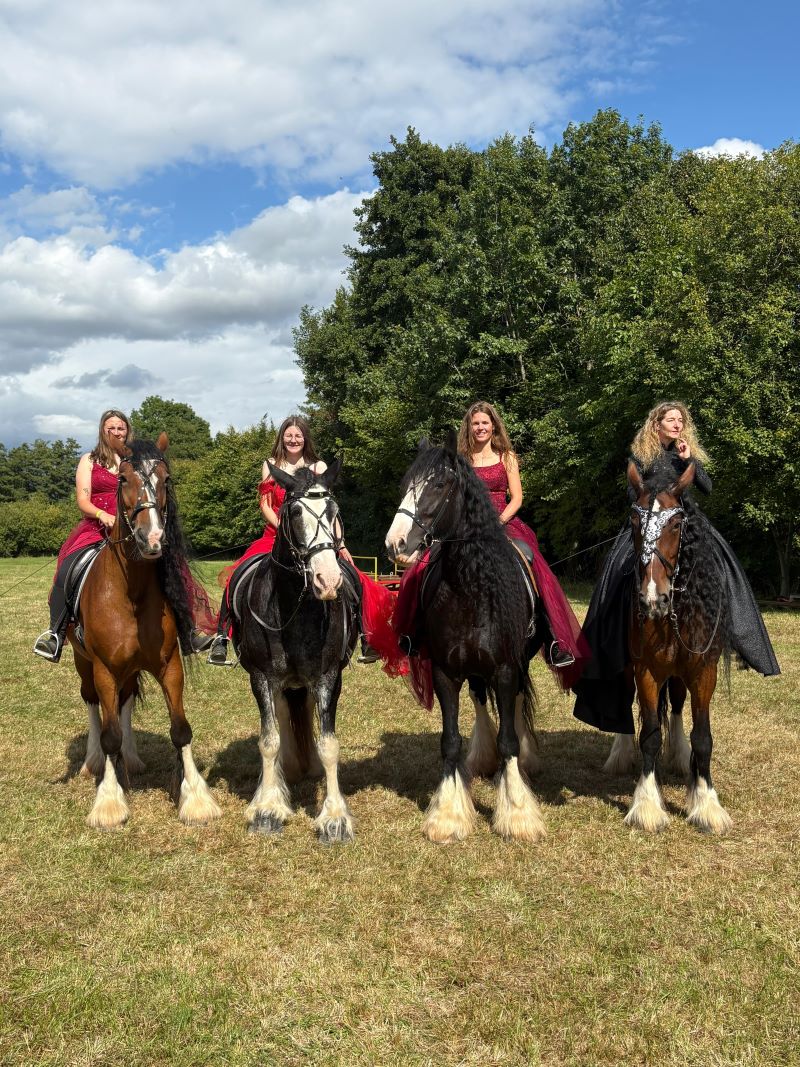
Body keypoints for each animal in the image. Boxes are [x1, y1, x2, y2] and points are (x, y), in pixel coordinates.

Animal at [72, 434, 221, 829]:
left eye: (166, 479)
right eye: (122, 479)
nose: (152, 538)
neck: (132, 591)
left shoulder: (169, 666)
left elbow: (180, 729)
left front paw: (195, 798)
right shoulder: (104, 669)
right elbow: (108, 734)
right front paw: (109, 802)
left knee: (123, 703)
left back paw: (132, 760)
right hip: (83, 663)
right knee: (93, 704)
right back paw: (94, 762)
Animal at [233, 460, 358, 843]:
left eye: (333, 511)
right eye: (295, 511)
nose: (328, 581)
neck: (294, 608)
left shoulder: (329, 678)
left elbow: (329, 745)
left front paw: (334, 817)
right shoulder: (261, 678)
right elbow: (269, 740)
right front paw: (268, 809)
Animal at [385, 433, 545, 844]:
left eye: (439, 485)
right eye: (405, 486)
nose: (396, 544)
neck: (470, 587)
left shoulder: (505, 669)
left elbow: (509, 739)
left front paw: (517, 813)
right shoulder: (445, 672)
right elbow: (450, 740)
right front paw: (448, 814)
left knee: (515, 705)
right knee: (478, 698)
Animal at [617, 459, 732, 833]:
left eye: (677, 523)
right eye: (634, 521)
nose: (653, 599)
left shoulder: (703, 671)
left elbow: (703, 737)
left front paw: (706, 803)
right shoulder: (647, 671)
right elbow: (650, 735)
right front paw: (647, 805)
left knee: (679, 704)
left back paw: (681, 759)